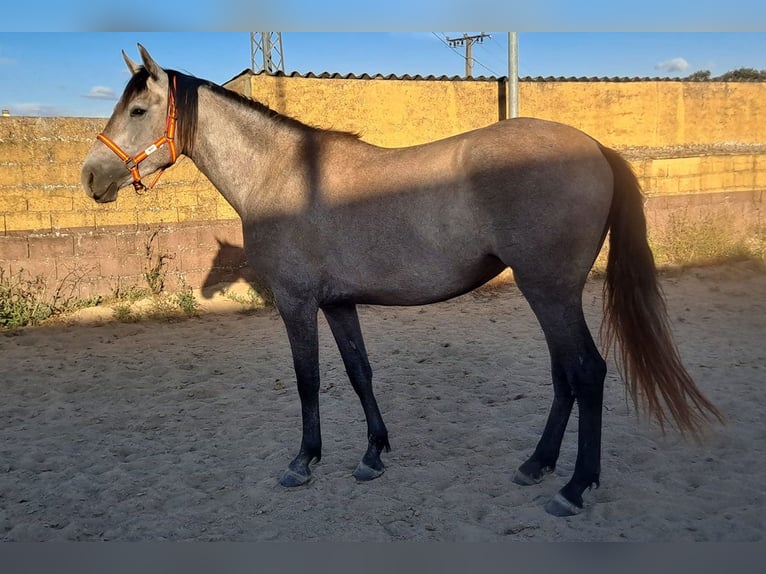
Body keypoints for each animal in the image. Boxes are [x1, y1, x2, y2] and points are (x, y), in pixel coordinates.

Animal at [81, 45, 723, 516]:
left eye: (138, 111)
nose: (91, 176)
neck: (281, 175)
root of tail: (594, 147)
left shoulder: (297, 304)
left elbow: (308, 383)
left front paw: (303, 462)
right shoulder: (339, 304)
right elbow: (359, 373)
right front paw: (372, 455)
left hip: (551, 291)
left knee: (585, 372)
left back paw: (572, 489)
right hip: (547, 294)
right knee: (564, 374)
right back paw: (536, 466)